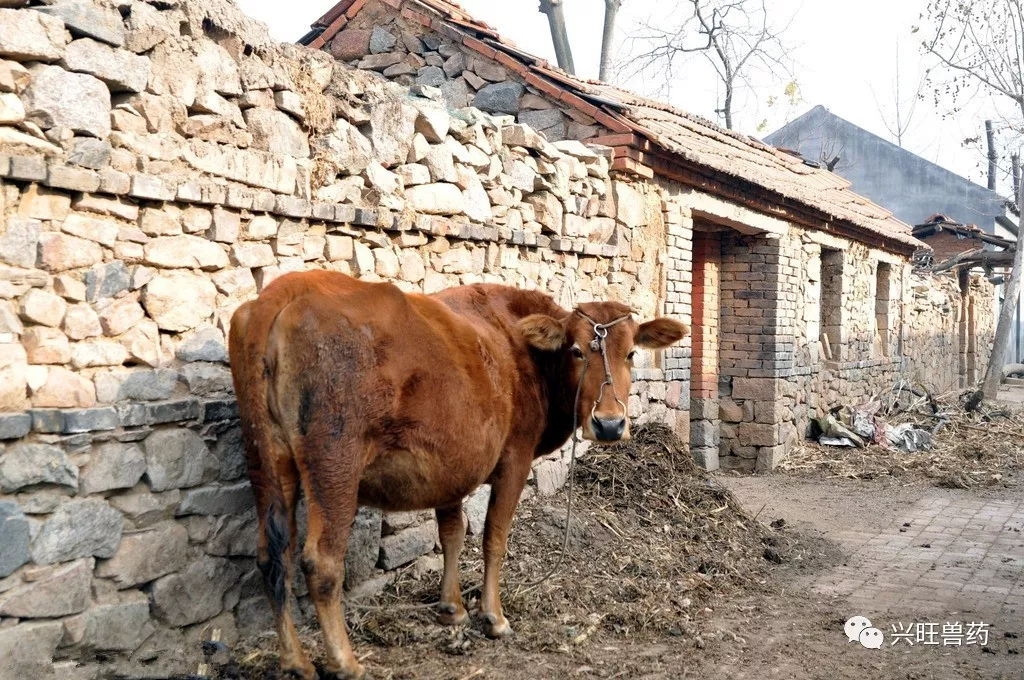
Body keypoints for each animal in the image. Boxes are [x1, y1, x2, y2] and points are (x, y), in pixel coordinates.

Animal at [225, 270, 688, 680]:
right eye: (576, 350)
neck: (521, 352)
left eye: (631, 353)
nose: (609, 424)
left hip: (268, 461)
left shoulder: (449, 464)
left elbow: (451, 533)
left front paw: (452, 608)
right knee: (320, 562)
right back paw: (344, 662)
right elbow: (494, 537)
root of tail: (281, 292)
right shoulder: (515, 459)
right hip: (334, 464)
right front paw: (493, 617)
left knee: (272, 556)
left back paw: (295, 661)